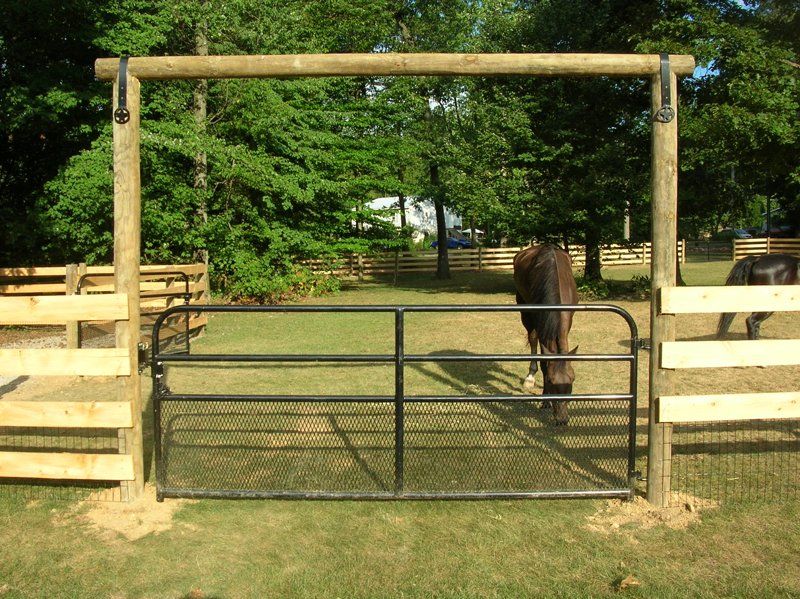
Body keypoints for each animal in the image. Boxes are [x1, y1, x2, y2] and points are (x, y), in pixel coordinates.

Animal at [513, 244, 579, 425]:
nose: (562, 419)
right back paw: (530, 377)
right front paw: (545, 400)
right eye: (550, 381)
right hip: (524, 310)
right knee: (533, 338)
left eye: (572, 380)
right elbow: (544, 361)